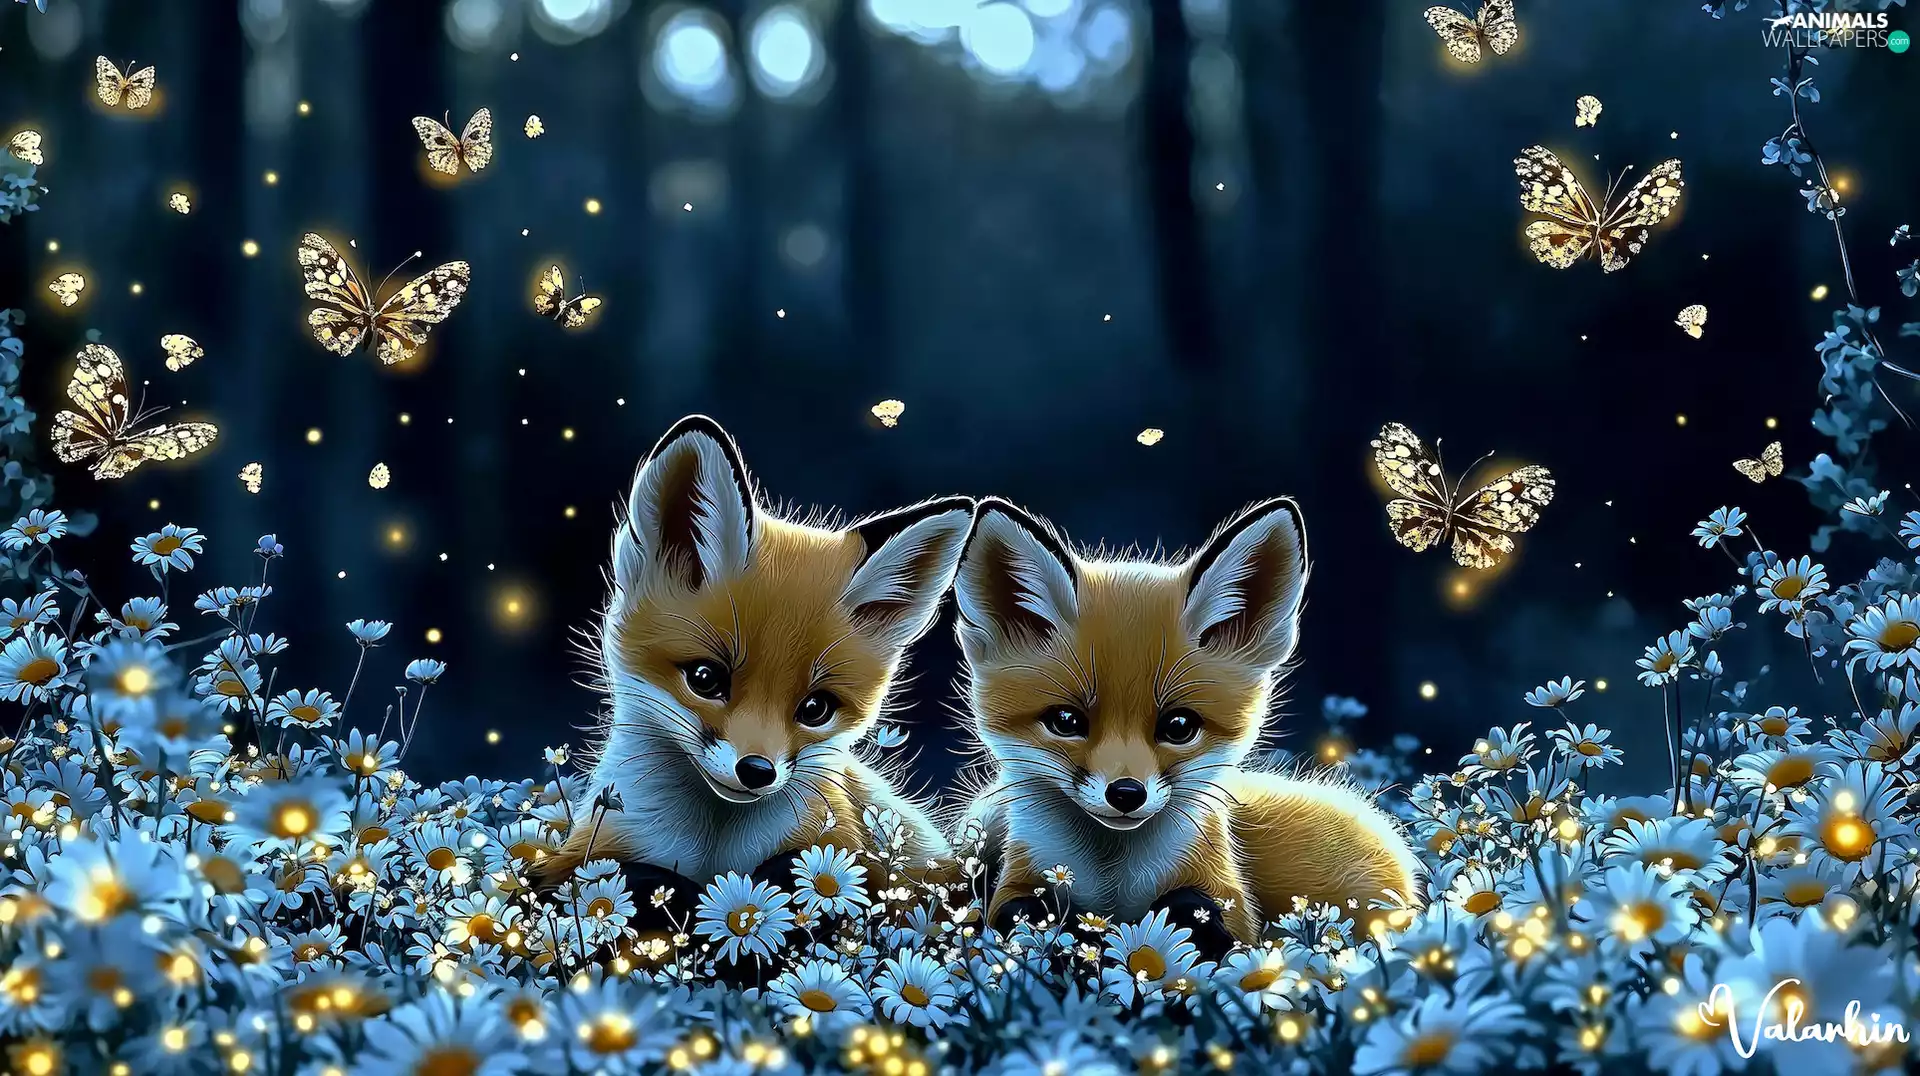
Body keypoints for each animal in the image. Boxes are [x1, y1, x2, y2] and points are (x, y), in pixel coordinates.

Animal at [532, 416, 970, 892]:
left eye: (816, 708)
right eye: (705, 679)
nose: (758, 771)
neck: (714, 853)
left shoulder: (843, 847)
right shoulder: (592, 852)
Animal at [952, 496, 1421, 948]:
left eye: (1179, 726)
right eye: (1066, 721)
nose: (1126, 794)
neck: (1112, 879)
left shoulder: (1229, 899)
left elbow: (1196, 912)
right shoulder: (1019, 879)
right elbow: (1019, 910)